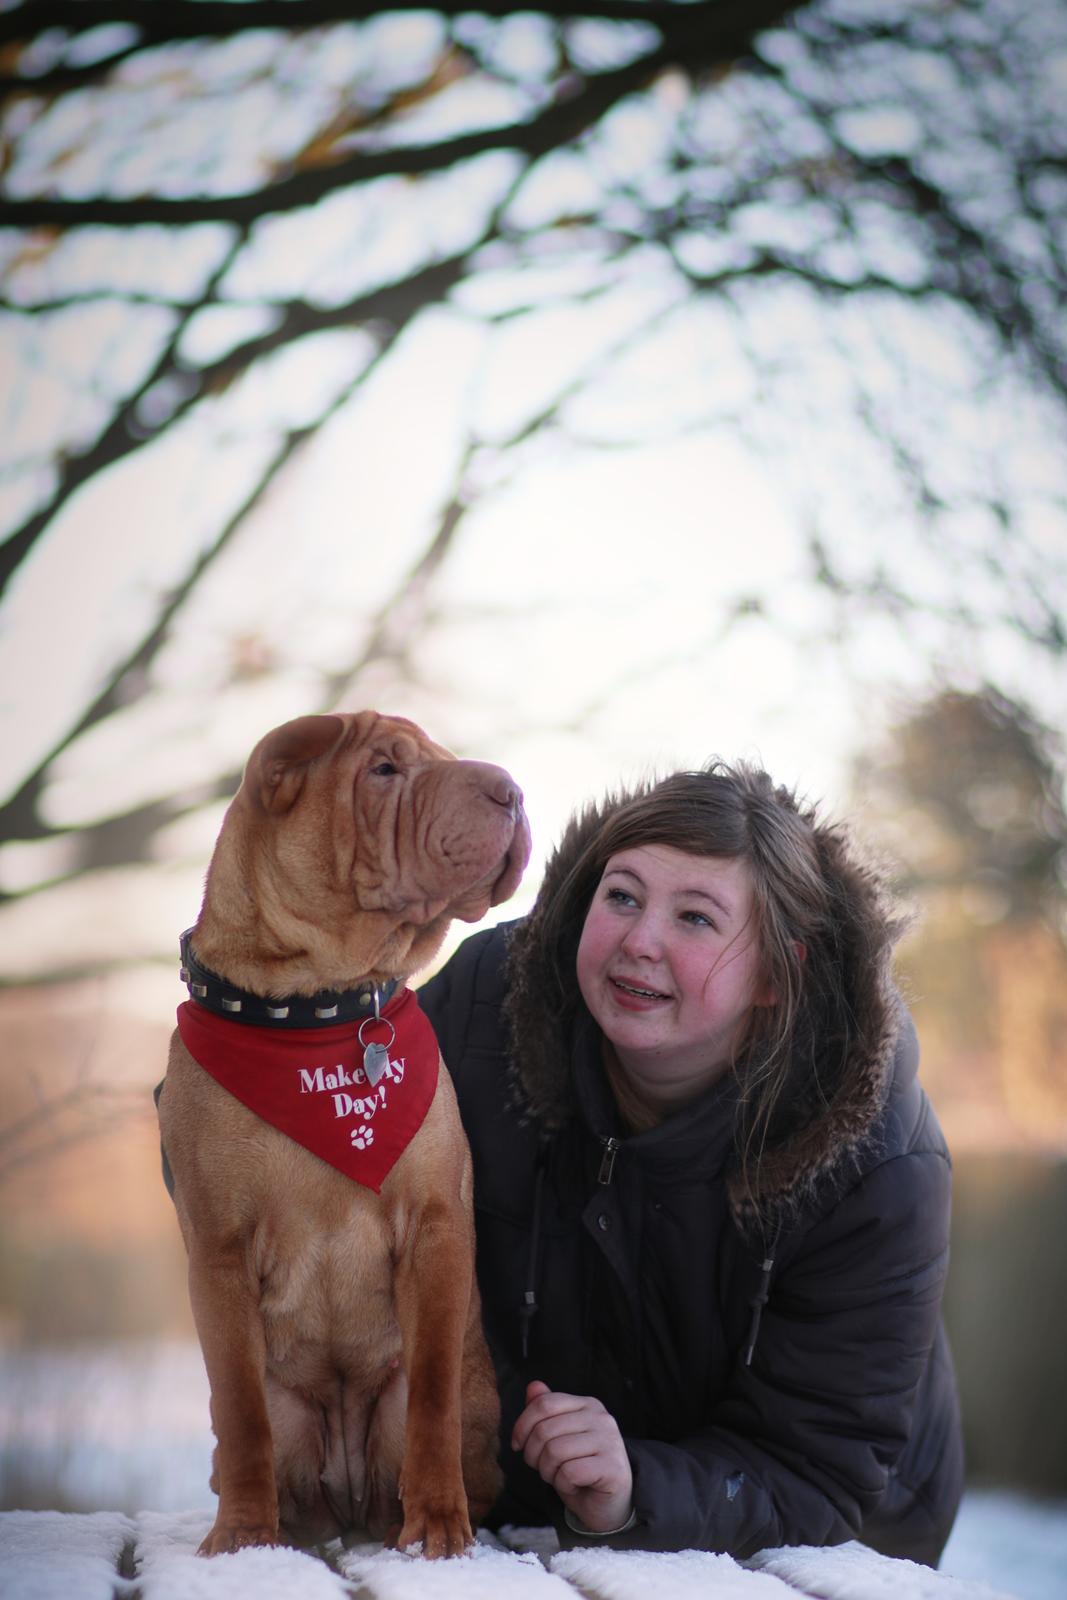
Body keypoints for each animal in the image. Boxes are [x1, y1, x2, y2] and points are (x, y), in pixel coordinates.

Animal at [156, 716, 531, 1561]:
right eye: (384, 771)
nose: (512, 789)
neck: (316, 1011)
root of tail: (348, 1502)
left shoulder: (434, 1226)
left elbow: (430, 1399)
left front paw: (439, 1529)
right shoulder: (219, 1252)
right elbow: (241, 1411)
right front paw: (242, 1538)